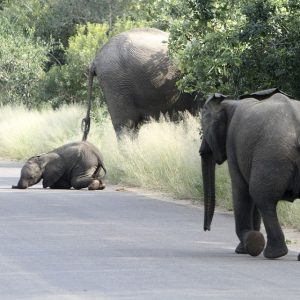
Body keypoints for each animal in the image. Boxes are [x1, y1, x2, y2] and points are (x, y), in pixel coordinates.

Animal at [199, 88, 300, 258]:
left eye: (204, 127)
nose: (207, 229)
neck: (229, 103)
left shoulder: (232, 143)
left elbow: (241, 190)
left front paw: (245, 247)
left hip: (271, 154)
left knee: (262, 197)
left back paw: (272, 253)